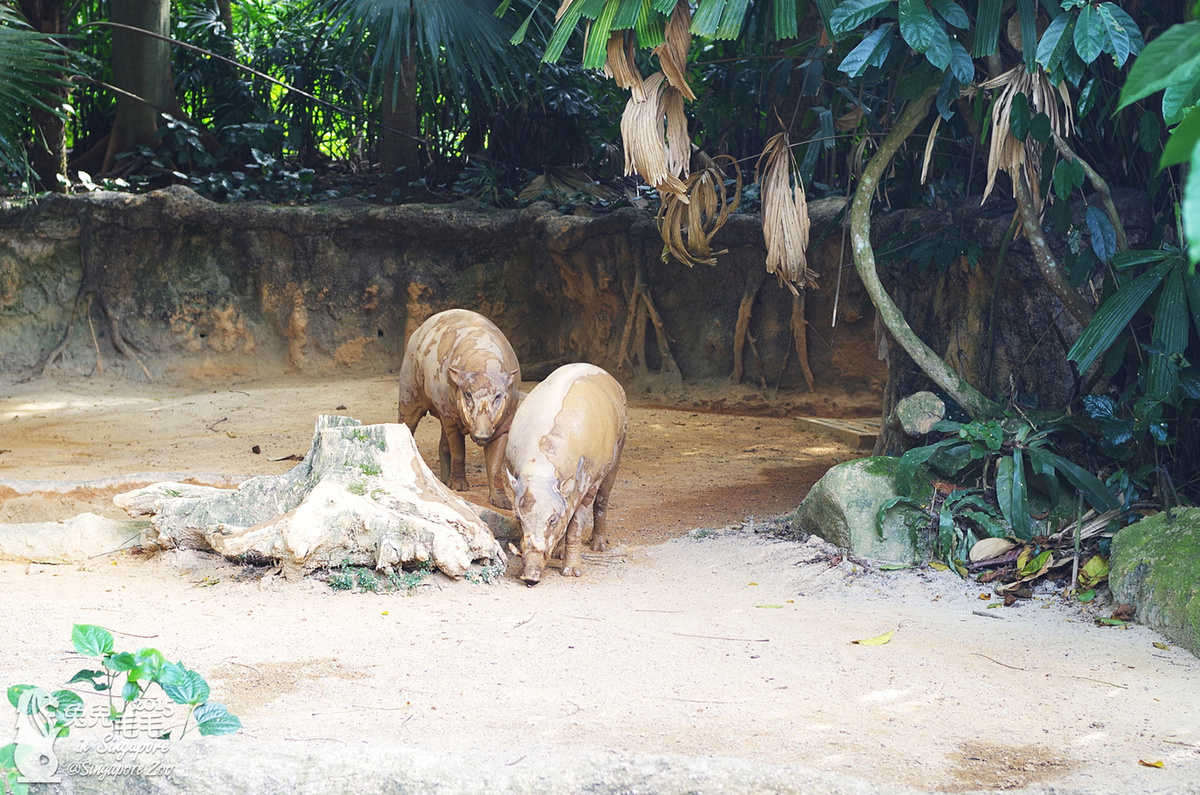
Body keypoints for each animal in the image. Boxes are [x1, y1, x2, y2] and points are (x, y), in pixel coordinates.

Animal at [398, 307, 520, 506]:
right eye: (468, 394)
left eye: (498, 396)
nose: (481, 435)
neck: (482, 361)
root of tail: (418, 330)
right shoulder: (452, 417)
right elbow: (459, 452)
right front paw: (460, 487)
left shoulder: (504, 423)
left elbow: (495, 462)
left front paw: (503, 503)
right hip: (409, 387)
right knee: (407, 421)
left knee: (443, 445)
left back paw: (444, 482)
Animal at [504, 362, 628, 586]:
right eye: (518, 518)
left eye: (552, 520)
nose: (530, 578)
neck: (541, 470)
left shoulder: (589, 483)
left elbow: (575, 526)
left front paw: (572, 572)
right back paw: (559, 553)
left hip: (618, 450)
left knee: (603, 499)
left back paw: (598, 546)